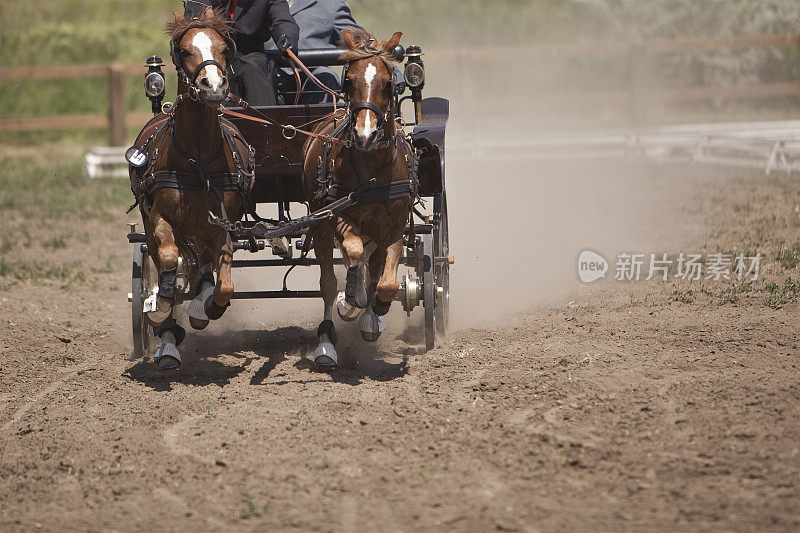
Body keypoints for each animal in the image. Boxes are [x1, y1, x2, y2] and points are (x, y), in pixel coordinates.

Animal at [130, 7, 253, 370]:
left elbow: (224, 284)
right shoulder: (161, 219)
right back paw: (167, 340)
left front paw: (205, 307)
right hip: (149, 221)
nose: (213, 85)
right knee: (163, 260)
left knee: (205, 268)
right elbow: (169, 258)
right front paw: (160, 305)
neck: (197, 159)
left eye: (223, 48)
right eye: (185, 50)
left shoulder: (224, 225)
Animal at [300, 30, 412, 370]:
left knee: (372, 267)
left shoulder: (394, 226)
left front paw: (374, 316)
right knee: (328, 282)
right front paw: (349, 301)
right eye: (348, 80)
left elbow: (385, 282)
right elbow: (352, 253)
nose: (365, 135)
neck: (373, 170)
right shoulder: (337, 217)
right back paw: (326, 342)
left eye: (388, 83)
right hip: (320, 226)